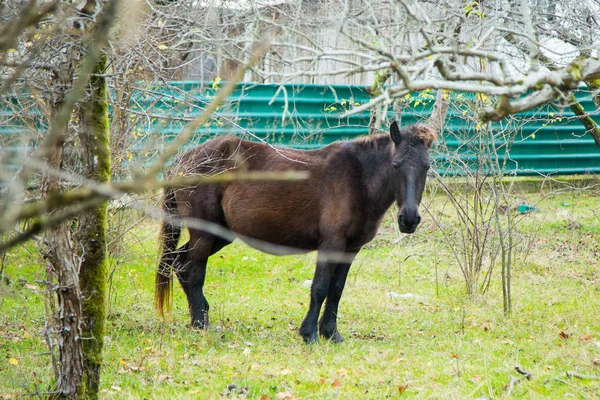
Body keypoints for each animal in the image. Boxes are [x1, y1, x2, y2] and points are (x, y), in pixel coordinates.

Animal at [155, 120, 436, 342]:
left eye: (427, 166)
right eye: (396, 164)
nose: (409, 219)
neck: (358, 180)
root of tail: (184, 160)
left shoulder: (350, 249)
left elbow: (336, 290)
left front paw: (331, 333)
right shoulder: (331, 244)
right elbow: (320, 288)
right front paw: (309, 334)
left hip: (220, 235)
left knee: (180, 263)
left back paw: (199, 317)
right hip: (203, 234)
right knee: (194, 272)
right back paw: (200, 323)